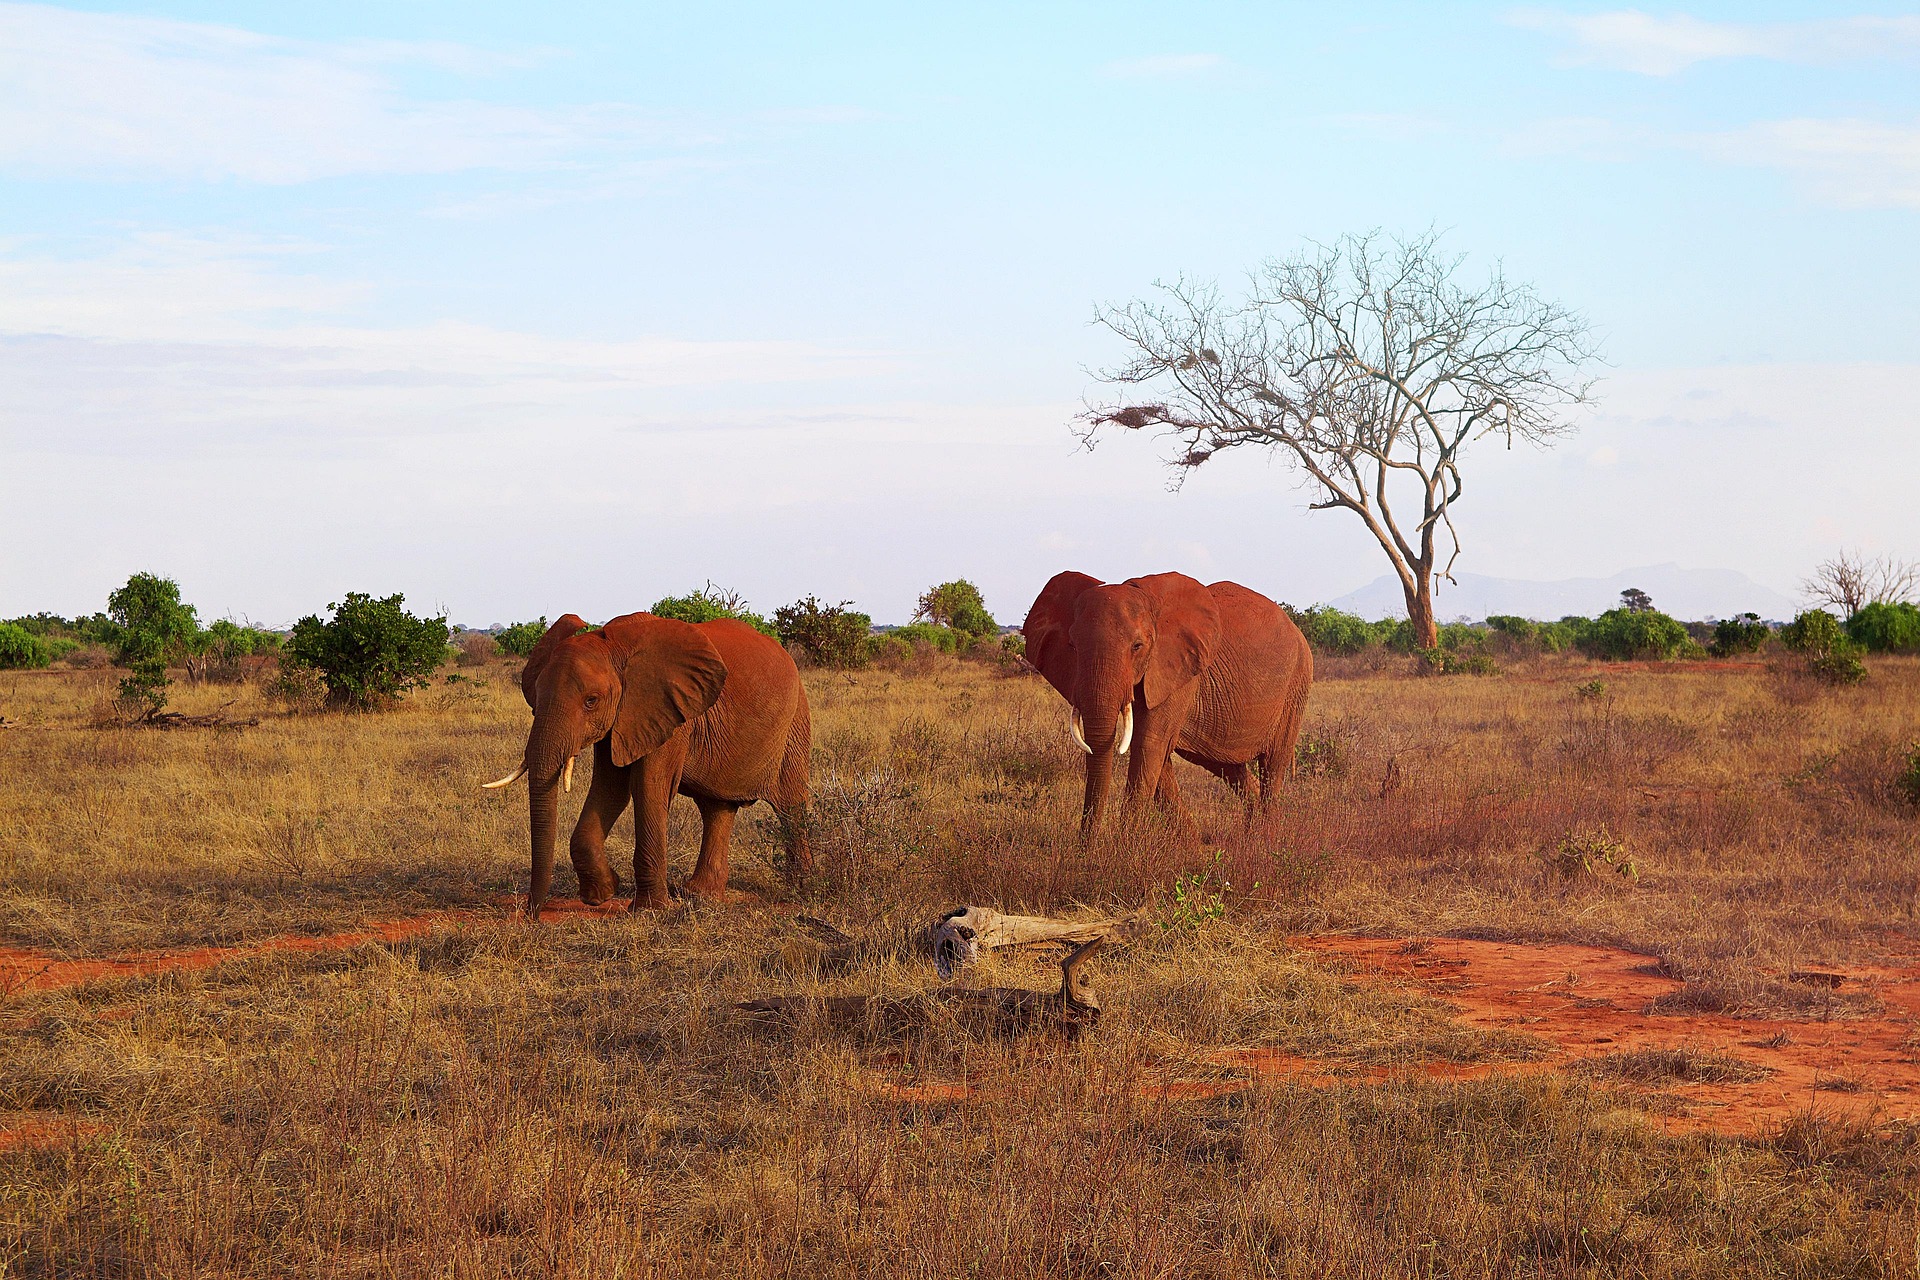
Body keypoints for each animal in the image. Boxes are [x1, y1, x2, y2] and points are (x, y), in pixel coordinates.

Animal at [481, 612, 810, 919]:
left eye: (591, 701)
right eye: (536, 698)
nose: (531, 913)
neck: (615, 648)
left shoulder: (669, 713)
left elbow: (648, 789)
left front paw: (649, 910)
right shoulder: (622, 718)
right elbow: (610, 789)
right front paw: (602, 892)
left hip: (795, 724)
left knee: (790, 807)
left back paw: (801, 888)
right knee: (717, 809)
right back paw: (700, 895)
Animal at [1022, 571, 1312, 833]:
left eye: (1137, 646)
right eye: (1072, 646)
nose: (1086, 848)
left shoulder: (1177, 670)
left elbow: (1149, 744)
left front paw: (1121, 850)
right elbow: (1155, 756)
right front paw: (1193, 845)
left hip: (1296, 685)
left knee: (1273, 764)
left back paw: (1262, 840)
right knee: (1227, 765)